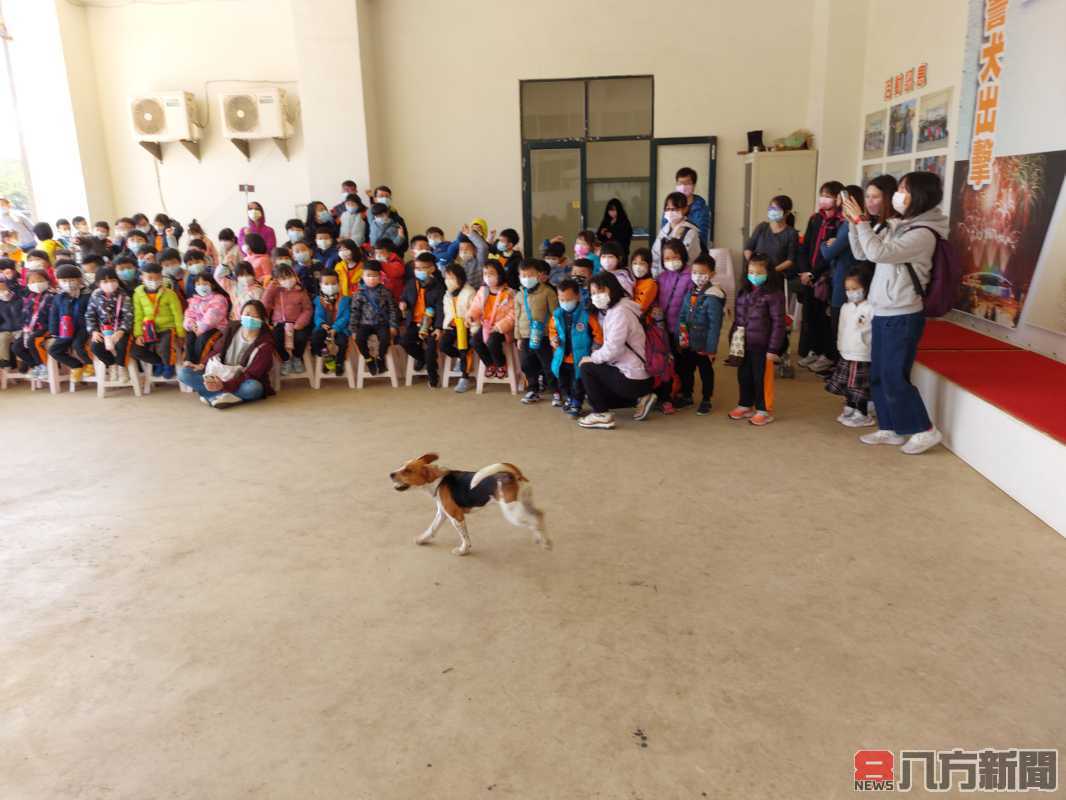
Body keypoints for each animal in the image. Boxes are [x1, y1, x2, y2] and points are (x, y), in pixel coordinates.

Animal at [388, 454, 550, 558]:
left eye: (408, 471)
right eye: (402, 466)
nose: (390, 474)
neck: (439, 481)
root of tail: (512, 475)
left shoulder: (456, 517)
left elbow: (465, 538)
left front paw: (463, 551)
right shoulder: (442, 513)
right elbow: (432, 528)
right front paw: (422, 539)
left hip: (512, 513)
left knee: (534, 521)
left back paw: (543, 541)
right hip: (524, 504)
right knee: (539, 514)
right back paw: (544, 540)